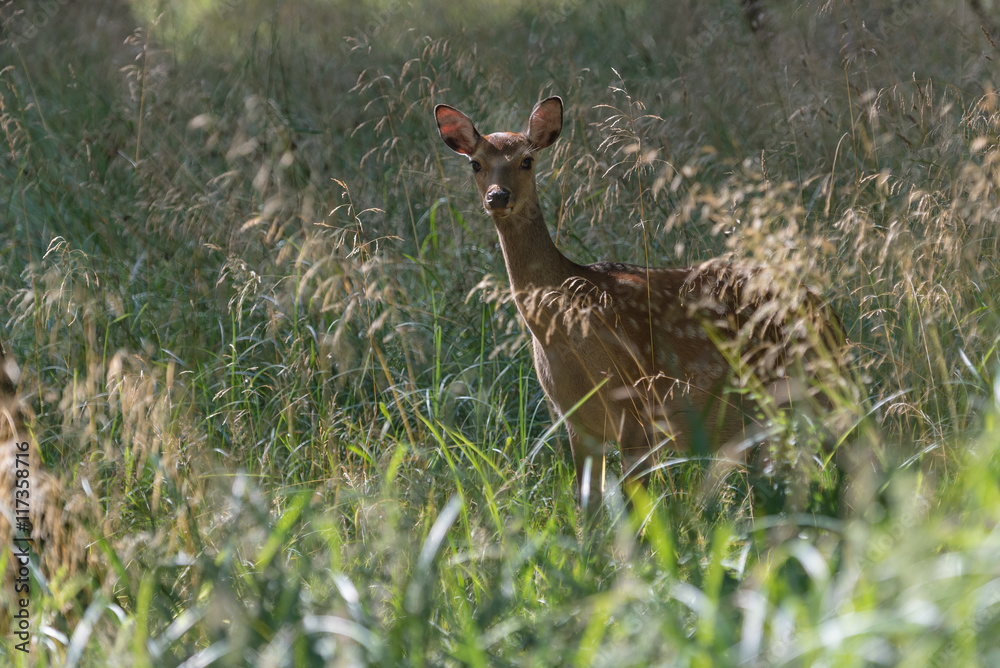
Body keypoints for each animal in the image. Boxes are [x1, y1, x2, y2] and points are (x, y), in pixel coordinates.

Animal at [434, 96, 845, 512]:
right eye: (475, 163)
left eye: (526, 160)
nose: (498, 196)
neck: (562, 331)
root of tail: (829, 315)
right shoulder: (576, 422)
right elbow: (589, 508)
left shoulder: (638, 410)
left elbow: (637, 511)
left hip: (819, 390)